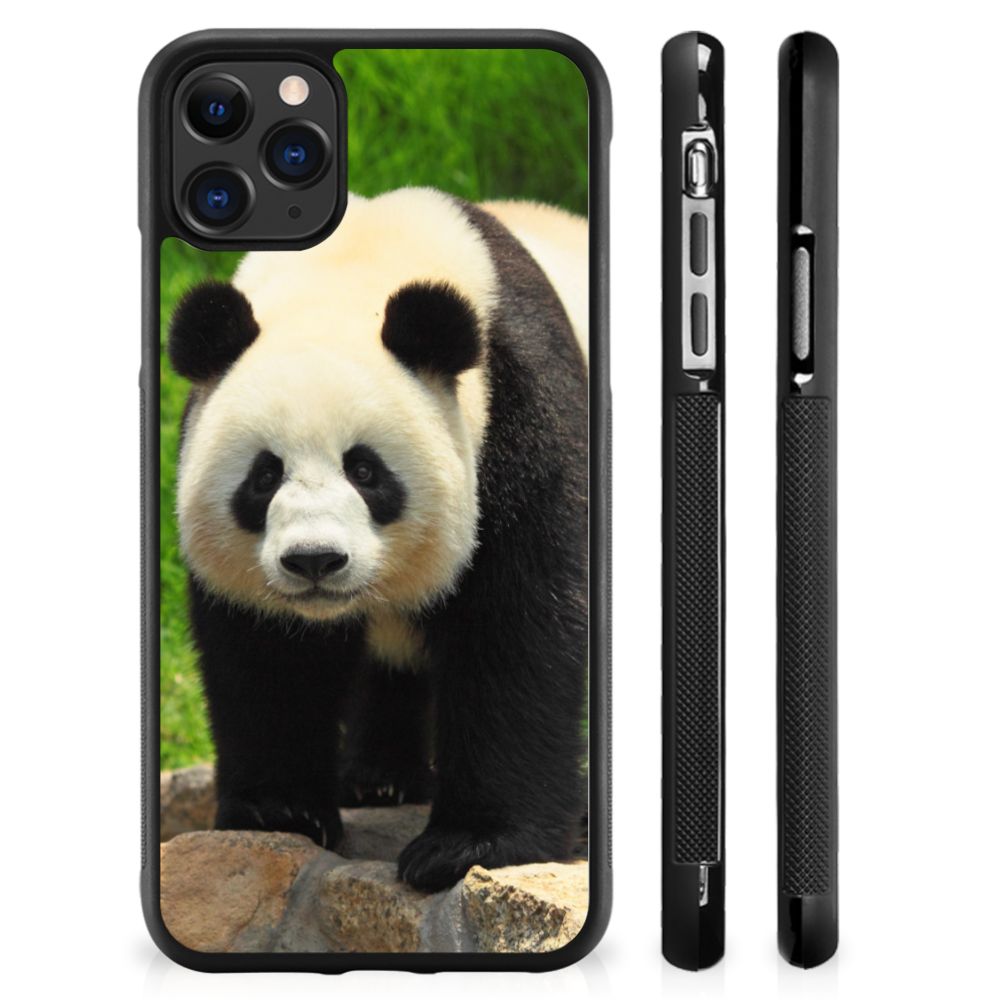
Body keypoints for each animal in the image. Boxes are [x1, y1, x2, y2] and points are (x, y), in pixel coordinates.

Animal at [168, 187, 589, 892]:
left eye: (365, 471)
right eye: (264, 475)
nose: (314, 561)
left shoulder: (521, 415)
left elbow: (520, 628)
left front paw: (468, 845)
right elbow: (266, 654)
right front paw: (280, 811)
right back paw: (379, 779)